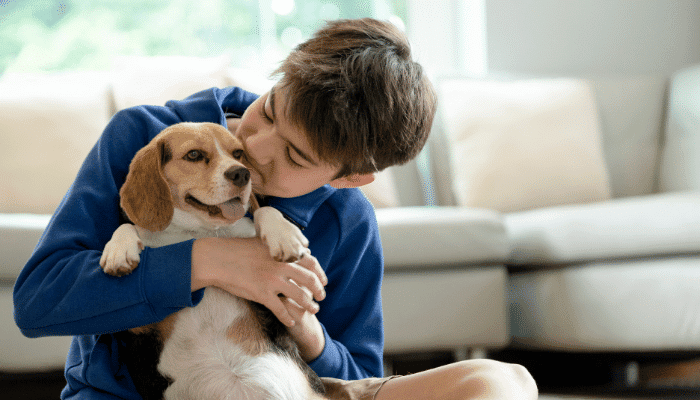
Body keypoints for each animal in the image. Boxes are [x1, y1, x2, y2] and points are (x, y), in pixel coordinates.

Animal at [100, 122, 328, 400]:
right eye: (194, 155)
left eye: (238, 153)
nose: (242, 174)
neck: (198, 231)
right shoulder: (138, 327)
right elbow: (127, 227)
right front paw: (118, 250)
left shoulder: (280, 296)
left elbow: (264, 210)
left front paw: (284, 235)